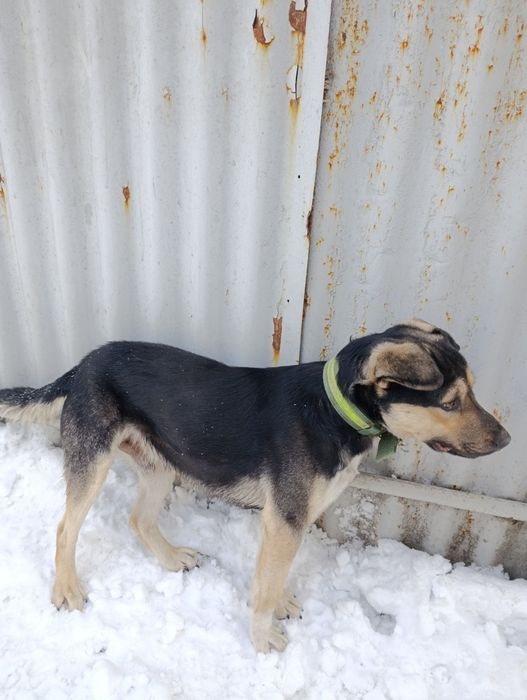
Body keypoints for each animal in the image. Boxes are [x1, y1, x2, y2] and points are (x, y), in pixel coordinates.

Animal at [0, 319, 510, 652]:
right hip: (93, 461)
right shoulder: (285, 519)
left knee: (138, 519)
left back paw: (171, 558)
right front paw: (264, 638)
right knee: (65, 528)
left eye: (472, 389)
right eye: (450, 402)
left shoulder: (288, 519)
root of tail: (83, 363)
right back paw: (66, 588)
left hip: (161, 463)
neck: (332, 409)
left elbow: (272, 575)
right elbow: (264, 588)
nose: (506, 440)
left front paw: (279, 603)